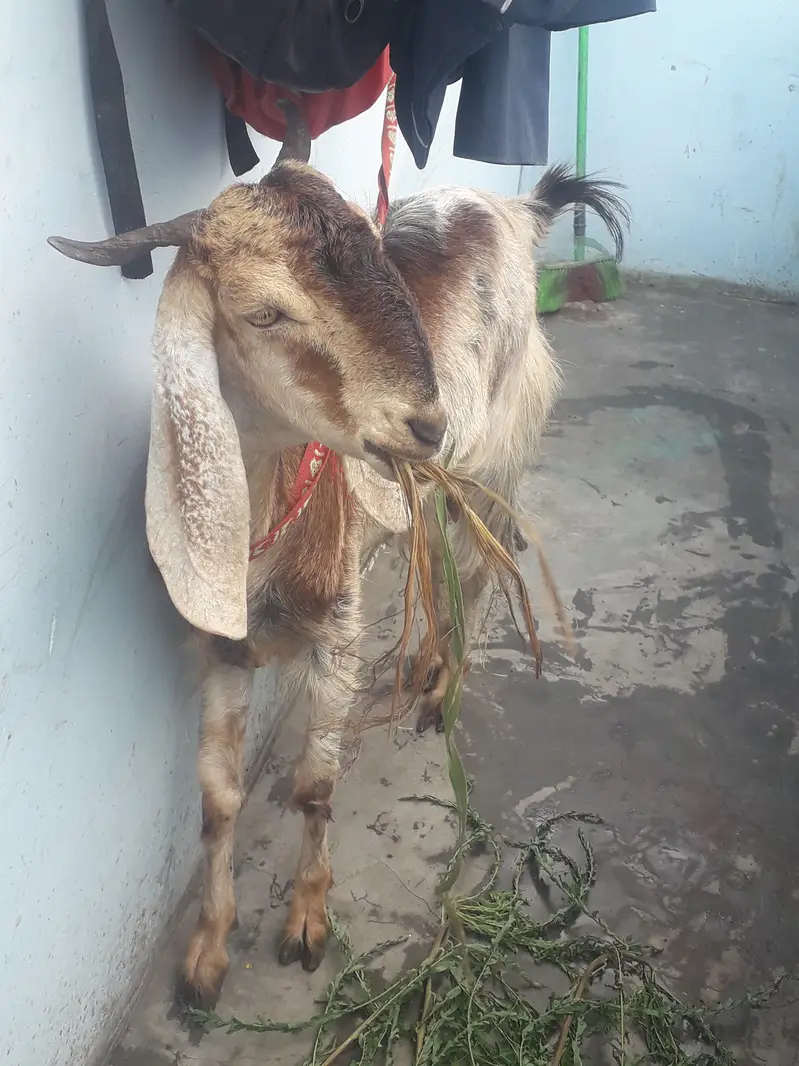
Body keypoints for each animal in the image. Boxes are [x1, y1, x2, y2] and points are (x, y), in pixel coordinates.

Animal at [49, 104, 627, 1008]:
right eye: (263, 312)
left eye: (374, 256)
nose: (423, 421)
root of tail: (516, 210)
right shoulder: (222, 647)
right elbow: (217, 799)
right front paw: (206, 957)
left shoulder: (338, 634)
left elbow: (315, 785)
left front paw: (305, 923)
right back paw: (423, 665)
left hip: (496, 454)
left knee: (479, 569)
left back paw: (442, 690)